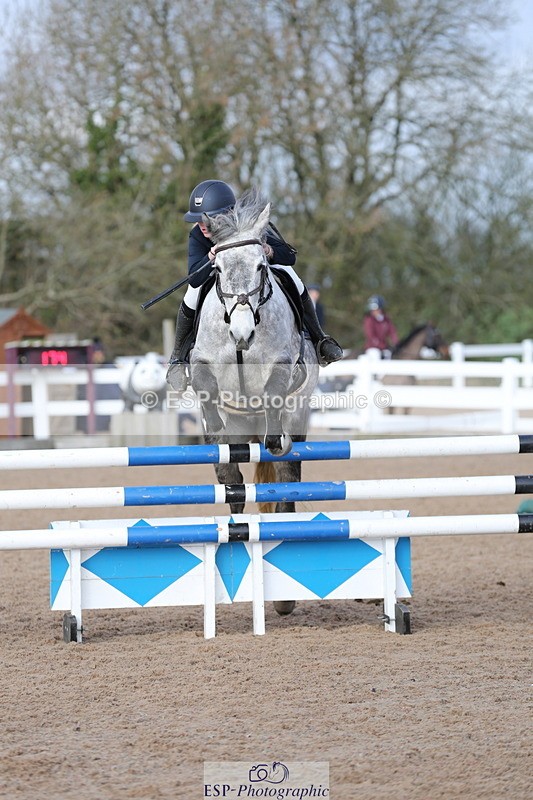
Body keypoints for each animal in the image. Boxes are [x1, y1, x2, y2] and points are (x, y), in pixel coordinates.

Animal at [188, 188, 319, 527]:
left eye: (261, 266)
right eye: (218, 269)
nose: (241, 334)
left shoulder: (285, 363)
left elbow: (273, 391)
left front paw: (276, 439)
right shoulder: (202, 361)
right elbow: (206, 386)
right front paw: (213, 422)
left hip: (296, 419)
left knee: (287, 485)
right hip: (234, 441)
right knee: (232, 485)